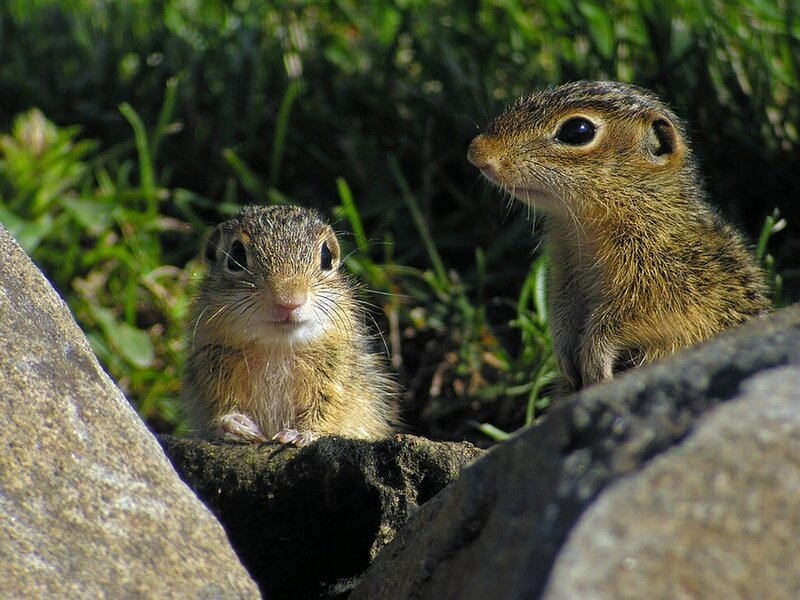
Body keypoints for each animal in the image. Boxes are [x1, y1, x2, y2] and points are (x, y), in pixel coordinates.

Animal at [183, 204, 397, 446]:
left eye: (326, 256)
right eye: (236, 255)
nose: (289, 300)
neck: (277, 347)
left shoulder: (337, 377)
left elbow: (328, 408)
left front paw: (302, 432)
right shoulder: (210, 370)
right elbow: (218, 407)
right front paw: (233, 424)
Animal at [467, 80, 770, 392]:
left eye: (577, 131)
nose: (476, 152)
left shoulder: (665, 283)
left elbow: (625, 321)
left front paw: (596, 359)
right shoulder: (564, 275)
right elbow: (562, 313)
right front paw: (564, 356)